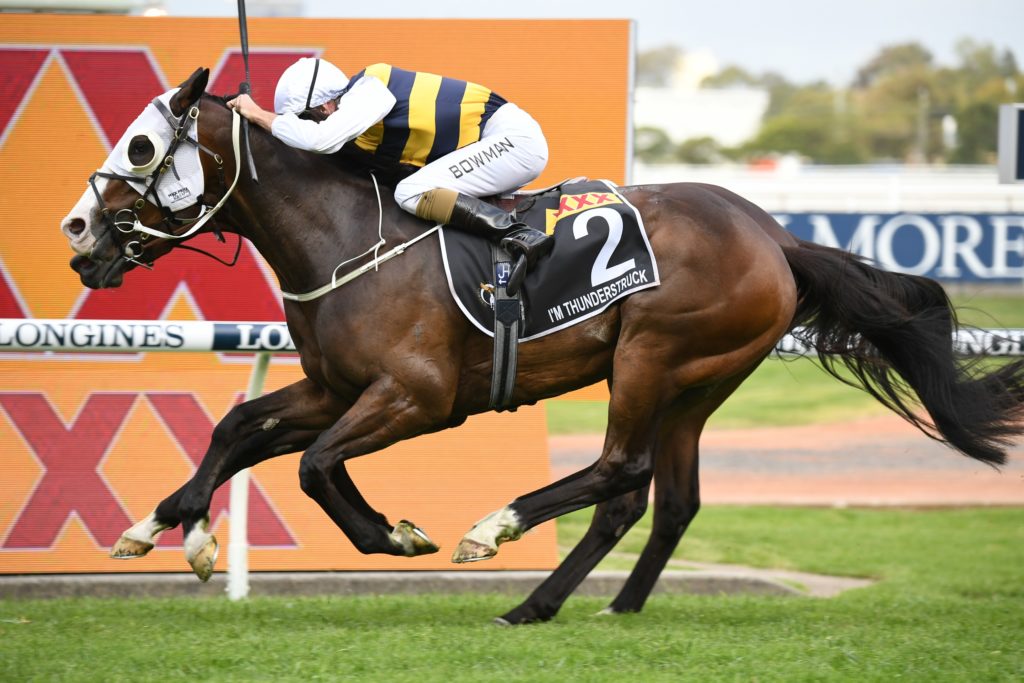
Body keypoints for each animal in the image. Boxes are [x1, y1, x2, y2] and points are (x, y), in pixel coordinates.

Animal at [60, 68, 1024, 624]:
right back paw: (588, 604)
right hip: (696, 383)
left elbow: (314, 465)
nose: (78, 234)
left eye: (142, 145)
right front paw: (167, 529)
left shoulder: (417, 397)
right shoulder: (337, 388)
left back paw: (501, 535)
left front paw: (394, 533)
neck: (349, 241)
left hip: (650, 357)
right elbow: (240, 428)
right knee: (660, 496)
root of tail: (777, 237)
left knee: (621, 471)